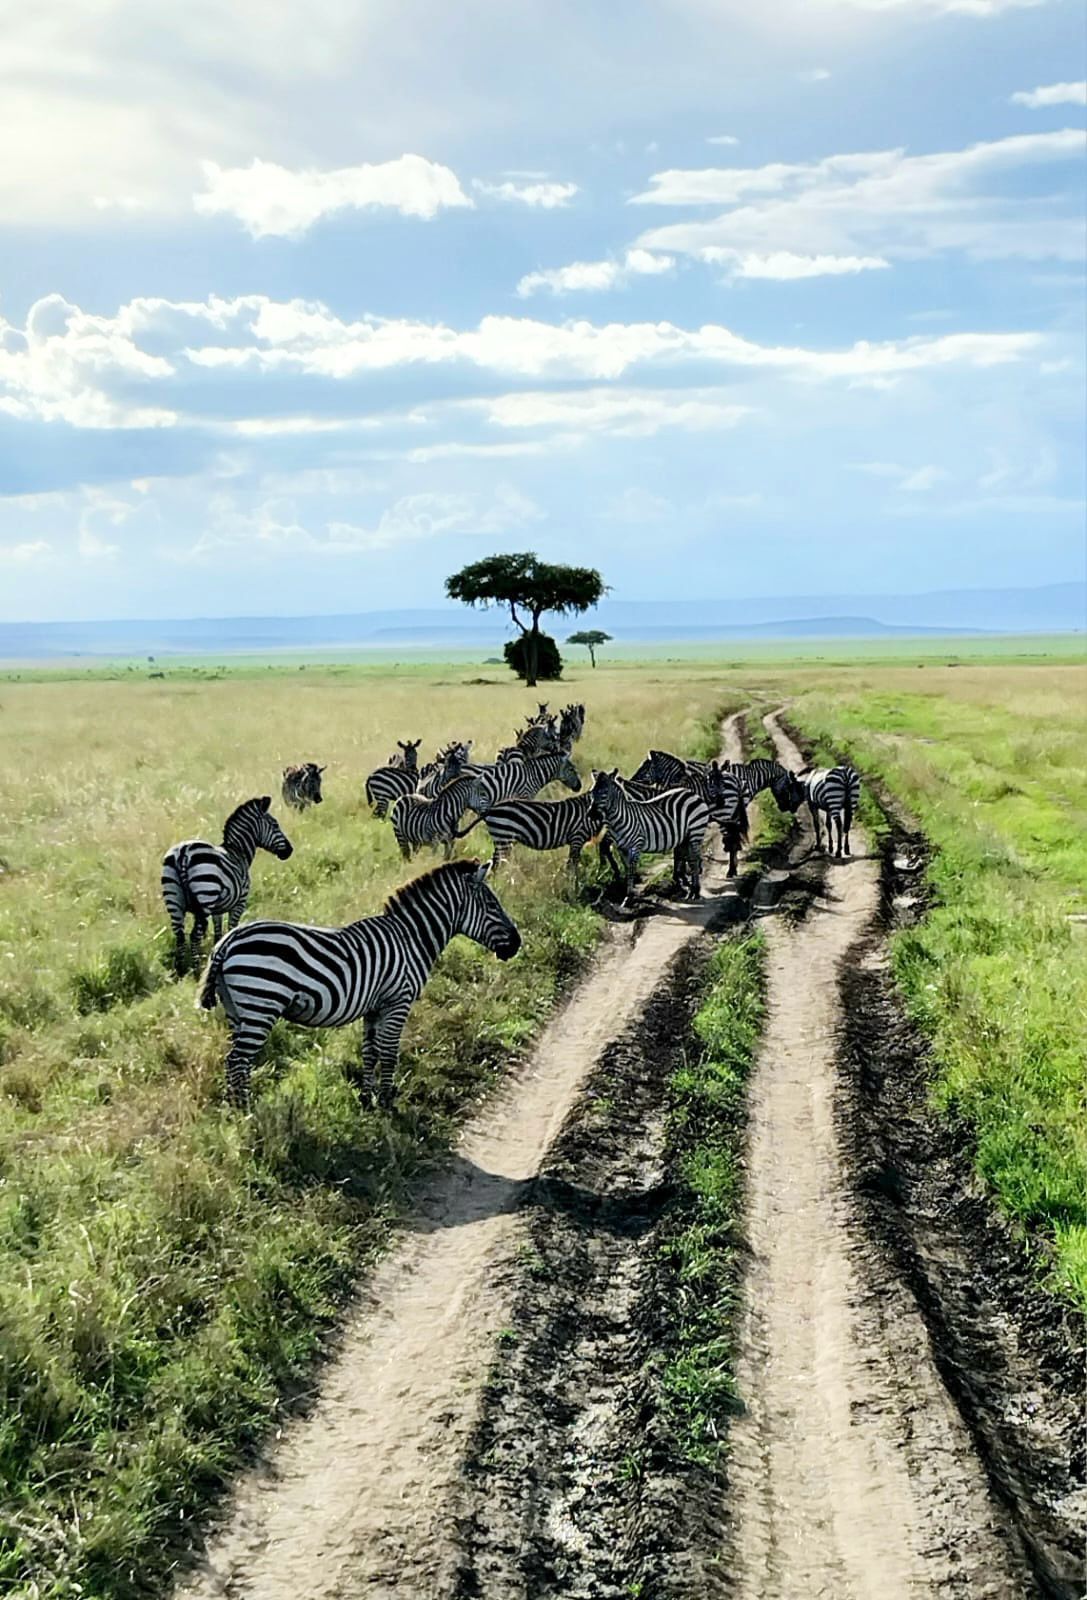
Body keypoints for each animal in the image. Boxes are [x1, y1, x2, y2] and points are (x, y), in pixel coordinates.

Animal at [161, 797, 293, 976]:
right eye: (275, 825)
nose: (290, 850)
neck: (239, 852)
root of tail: (184, 852)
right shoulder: (240, 902)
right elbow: (232, 927)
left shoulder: (217, 908)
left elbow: (218, 931)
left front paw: (217, 949)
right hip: (205, 893)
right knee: (194, 936)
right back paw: (196, 970)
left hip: (174, 900)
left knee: (180, 936)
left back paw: (180, 972)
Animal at [197, 858, 521, 1107]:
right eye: (492, 904)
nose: (517, 944)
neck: (411, 938)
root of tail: (227, 941)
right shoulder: (398, 1001)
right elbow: (388, 1052)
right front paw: (388, 1101)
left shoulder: (374, 1006)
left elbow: (370, 1051)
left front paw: (367, 1098)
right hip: (260, 1006)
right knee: (238, 1061)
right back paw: (246, 1112)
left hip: (237, 1009)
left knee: (234, 1062)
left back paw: (236, 1110)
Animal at [590, 768, 711, 900]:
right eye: (591, 793)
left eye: (605, 792)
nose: (591, 814)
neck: (620, 819)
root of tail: (692, 793)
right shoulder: (621, 848)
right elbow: (627, 869)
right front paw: (627, 893)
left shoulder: (636, 845)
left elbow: (632, 870)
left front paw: (629, 897)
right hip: (686, 837)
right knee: (689, 858)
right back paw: (690, 889)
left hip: (696, 831)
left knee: (694, 860)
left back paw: (695, 891)